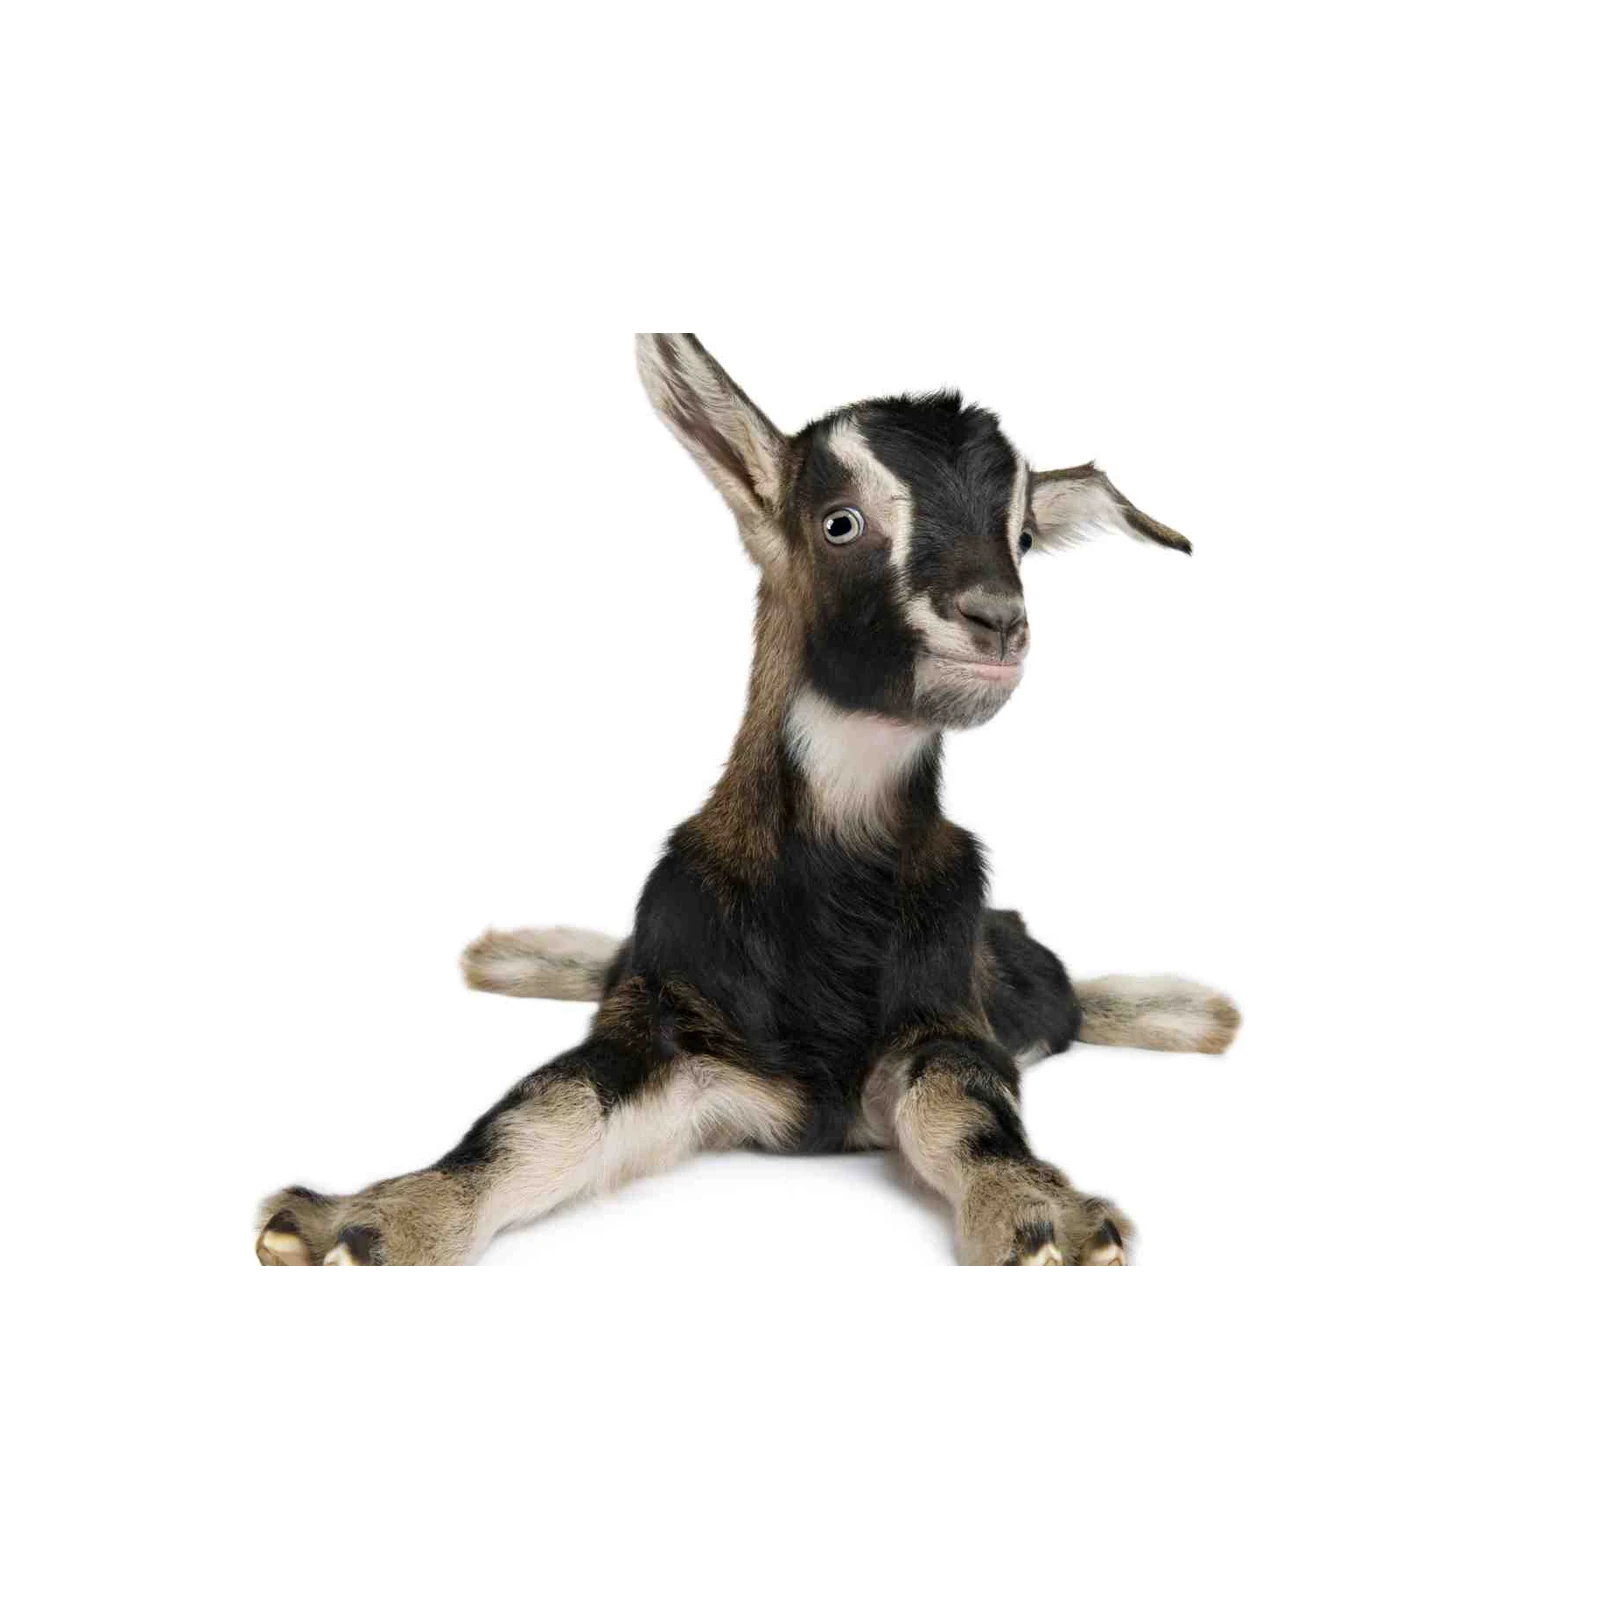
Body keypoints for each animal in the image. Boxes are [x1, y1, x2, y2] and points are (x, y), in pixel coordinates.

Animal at [256, 330, 1239, 1272]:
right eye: (840, 522)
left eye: (1025, 537)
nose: (997, 619)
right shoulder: (674, 1028)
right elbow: (538, 1115)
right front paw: (375, 1222)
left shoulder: (948, 1020)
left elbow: (965, 1111)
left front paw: (1041, 1219)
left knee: (1067, 997)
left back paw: (1186, 1011)